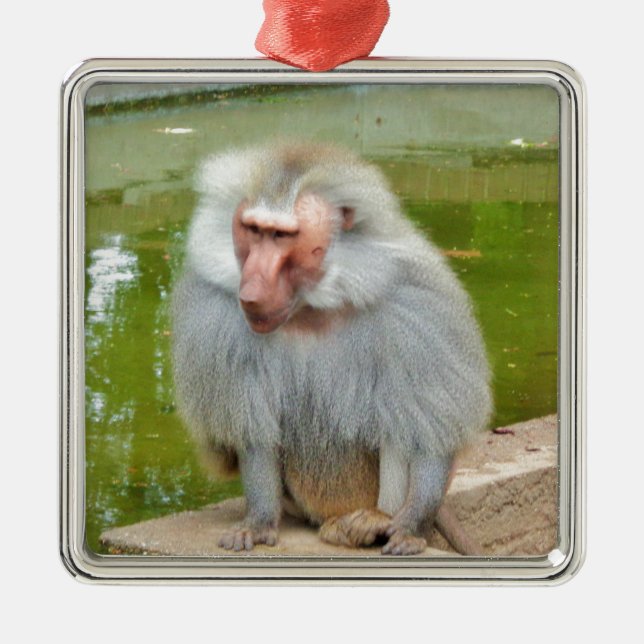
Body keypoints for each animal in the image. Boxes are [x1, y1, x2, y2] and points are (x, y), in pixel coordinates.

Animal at [172, 142, 492, 555]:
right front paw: (258, 523)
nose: (252, 290)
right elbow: (254, 432)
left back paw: (373, 522)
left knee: (401, 425)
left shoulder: (418, 302)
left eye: (282, 236)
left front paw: (410, 526)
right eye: (253, 230)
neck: (312, 306)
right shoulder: (219, 317)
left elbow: (428, 428)